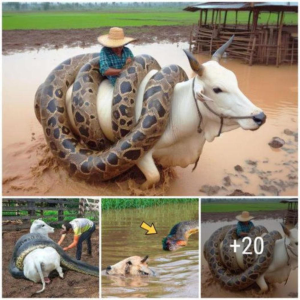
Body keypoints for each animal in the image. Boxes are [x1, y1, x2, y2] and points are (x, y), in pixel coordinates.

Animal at [67, 37, 266, 188]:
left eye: (235, 80)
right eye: (217, 89)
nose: (260, 116)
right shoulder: (142, 157)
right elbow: (153, 177)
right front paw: (139, 187)